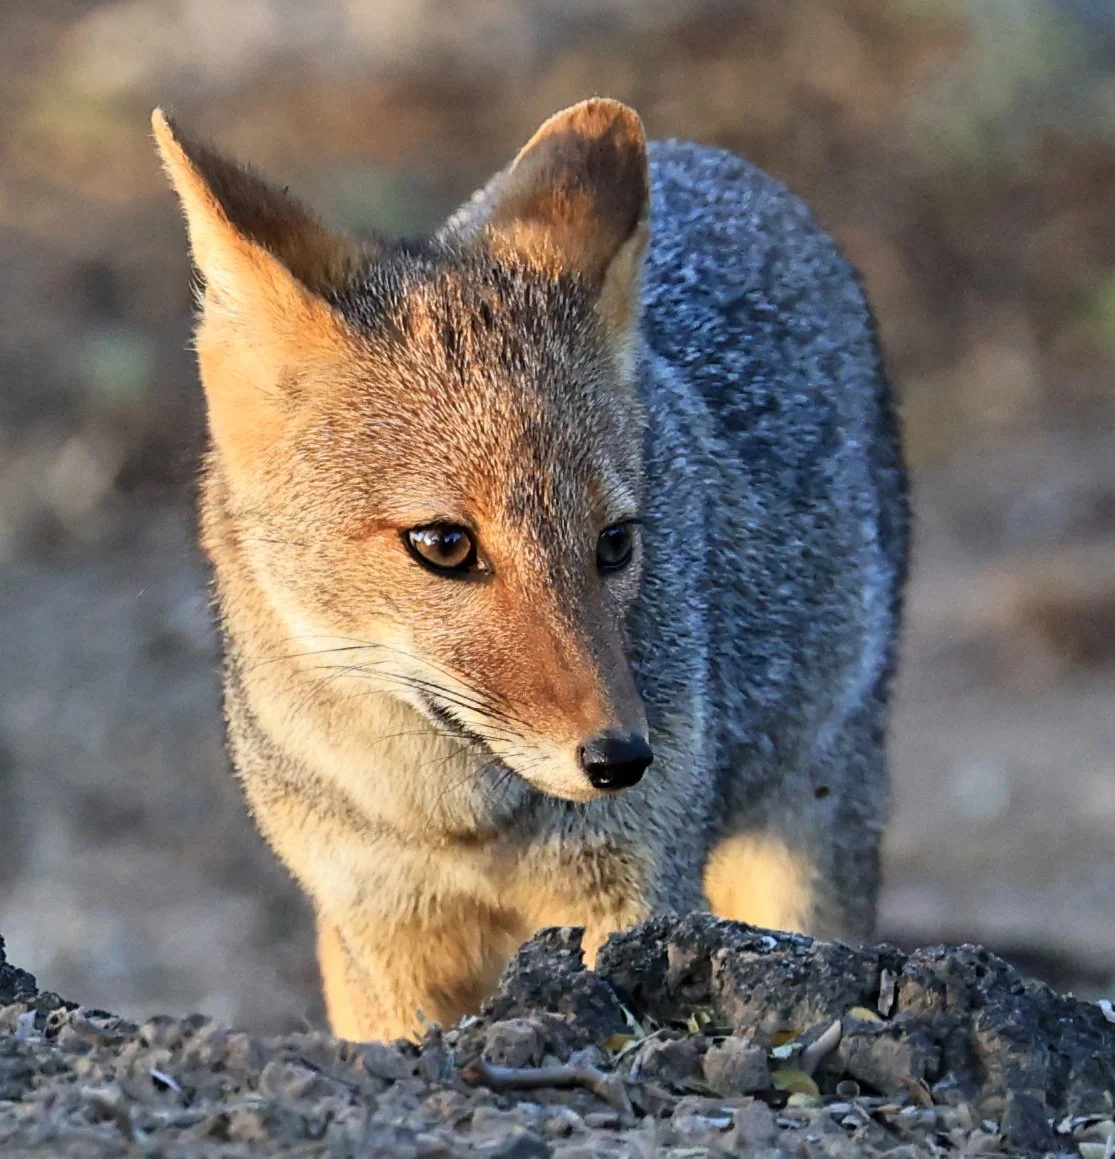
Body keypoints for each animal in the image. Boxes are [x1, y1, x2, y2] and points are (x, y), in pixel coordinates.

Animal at [152, 97, 908, 1043]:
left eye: (614, 543)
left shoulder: (631, 901)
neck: (453, 824)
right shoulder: (378, 936)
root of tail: (716, 160)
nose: (621, 758)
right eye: (444, 544)